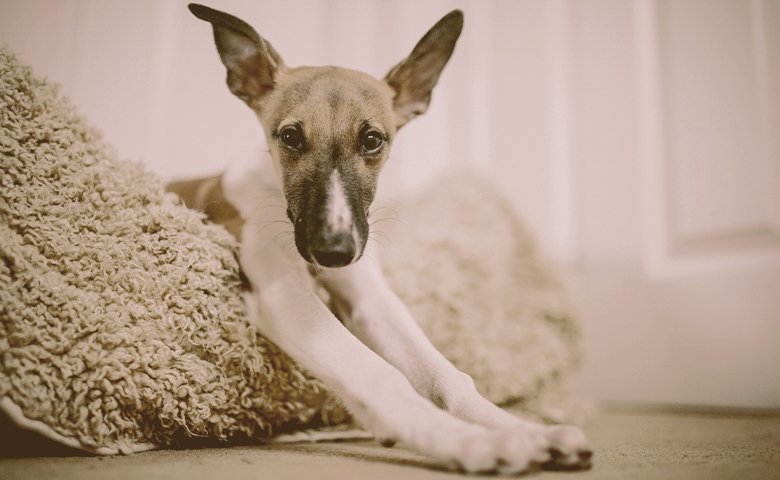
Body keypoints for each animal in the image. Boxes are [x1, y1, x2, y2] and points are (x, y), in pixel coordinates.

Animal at [166, 3, 592, 474]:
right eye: (290, 136)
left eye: (372, 140)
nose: (333, 252)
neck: (272, 194)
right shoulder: (280, 292)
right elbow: (379, 374)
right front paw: (470, 441)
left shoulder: (369, 295)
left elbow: (446, 374)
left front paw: (520, 428)